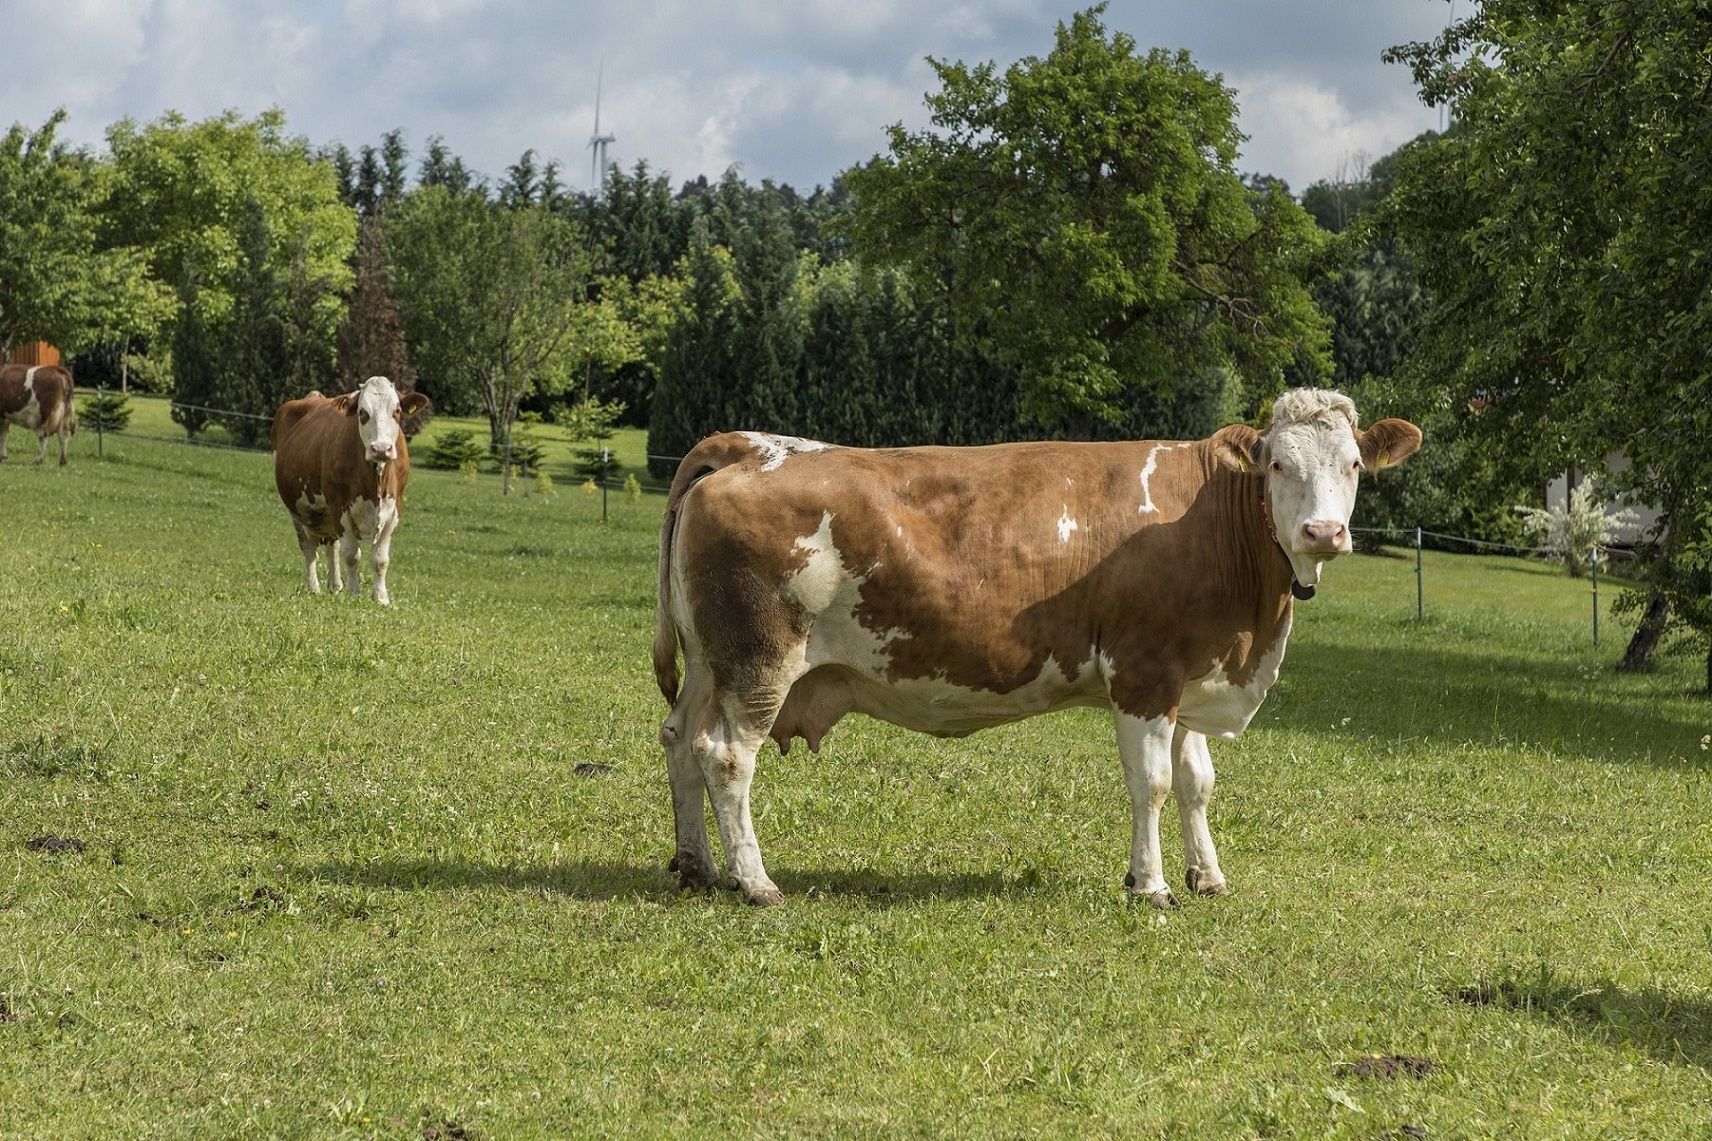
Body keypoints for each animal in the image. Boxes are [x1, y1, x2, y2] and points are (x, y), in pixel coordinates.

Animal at [270, 373, 428, 603]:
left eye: (397, 411)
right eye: (363, 413)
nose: (381, 448)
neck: (375, 482)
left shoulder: (394, 508)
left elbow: (380, 559)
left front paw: (381, 598)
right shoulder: (339, 506)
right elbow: (352, 554)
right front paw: (354, 594)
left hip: (326, 516)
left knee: (331, 547)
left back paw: (335, 586)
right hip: (298, 511)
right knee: (309, 547)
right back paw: (314, 588)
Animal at [647, 390, 1424, 904]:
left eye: (1355, 465)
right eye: (1278, 465)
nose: (1325, 532)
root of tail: (754, 447)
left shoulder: (1194, 673)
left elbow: (1197, 781)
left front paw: (1208, 875)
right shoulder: (1144, 674)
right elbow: (1153, 783)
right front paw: (1151, 885)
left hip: (711, 664)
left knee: (681, 739)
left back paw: (697, 864)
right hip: (759, 659)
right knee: (727, 755)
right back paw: (755, 881)